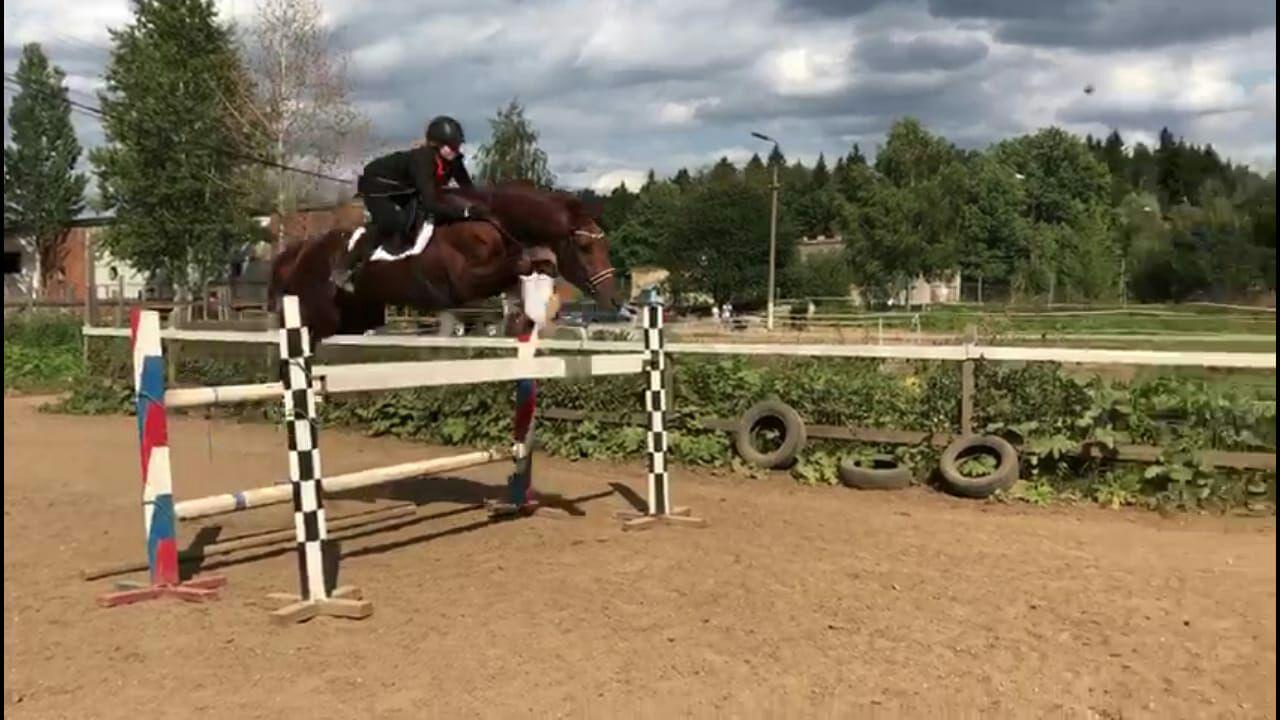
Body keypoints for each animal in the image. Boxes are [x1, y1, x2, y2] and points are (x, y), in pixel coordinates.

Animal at [266, 180, 619, 340]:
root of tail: (298, 252)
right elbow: (521, 265)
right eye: (584, 247)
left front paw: (529, 314)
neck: (490, 222)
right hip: (316, 316)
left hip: (357, 319)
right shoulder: (462, 285)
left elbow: (534, 269)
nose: (614, 299)